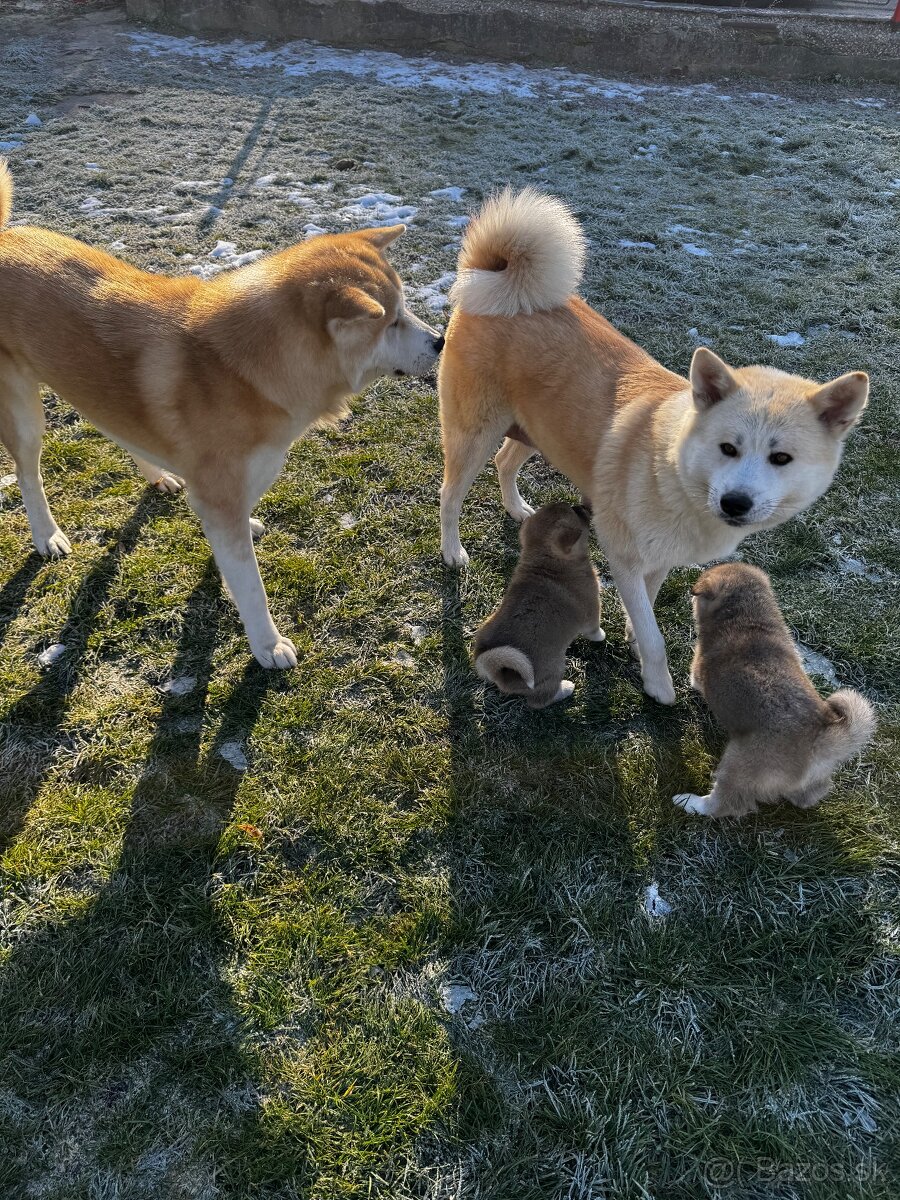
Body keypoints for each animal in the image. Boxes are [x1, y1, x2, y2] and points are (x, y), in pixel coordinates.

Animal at [0, 158, 444, 667]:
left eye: (404, 312)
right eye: (391, 322)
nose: (441, 341)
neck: (252, 371)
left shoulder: (232, 490)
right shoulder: (219, 499)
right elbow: (251, 588)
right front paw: (267, 644)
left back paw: (158, 475)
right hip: (25, 416)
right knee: (29, 476)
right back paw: (46, 535)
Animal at [472, 501, 607, 705]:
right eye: (575, 512)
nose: (581, 506)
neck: (546, 565)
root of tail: (502, 675)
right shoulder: (592, 611)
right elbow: (595, 631)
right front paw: (602, 636)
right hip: (555, 667)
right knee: (542, 699)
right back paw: (565, 688)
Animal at [676, 561, 883, 816]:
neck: (749, 618)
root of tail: (819, 736)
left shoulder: (697, 672)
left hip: (738, 762)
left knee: (724, 804)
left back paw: (689, 801)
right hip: (810, 782)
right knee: (808, 796)